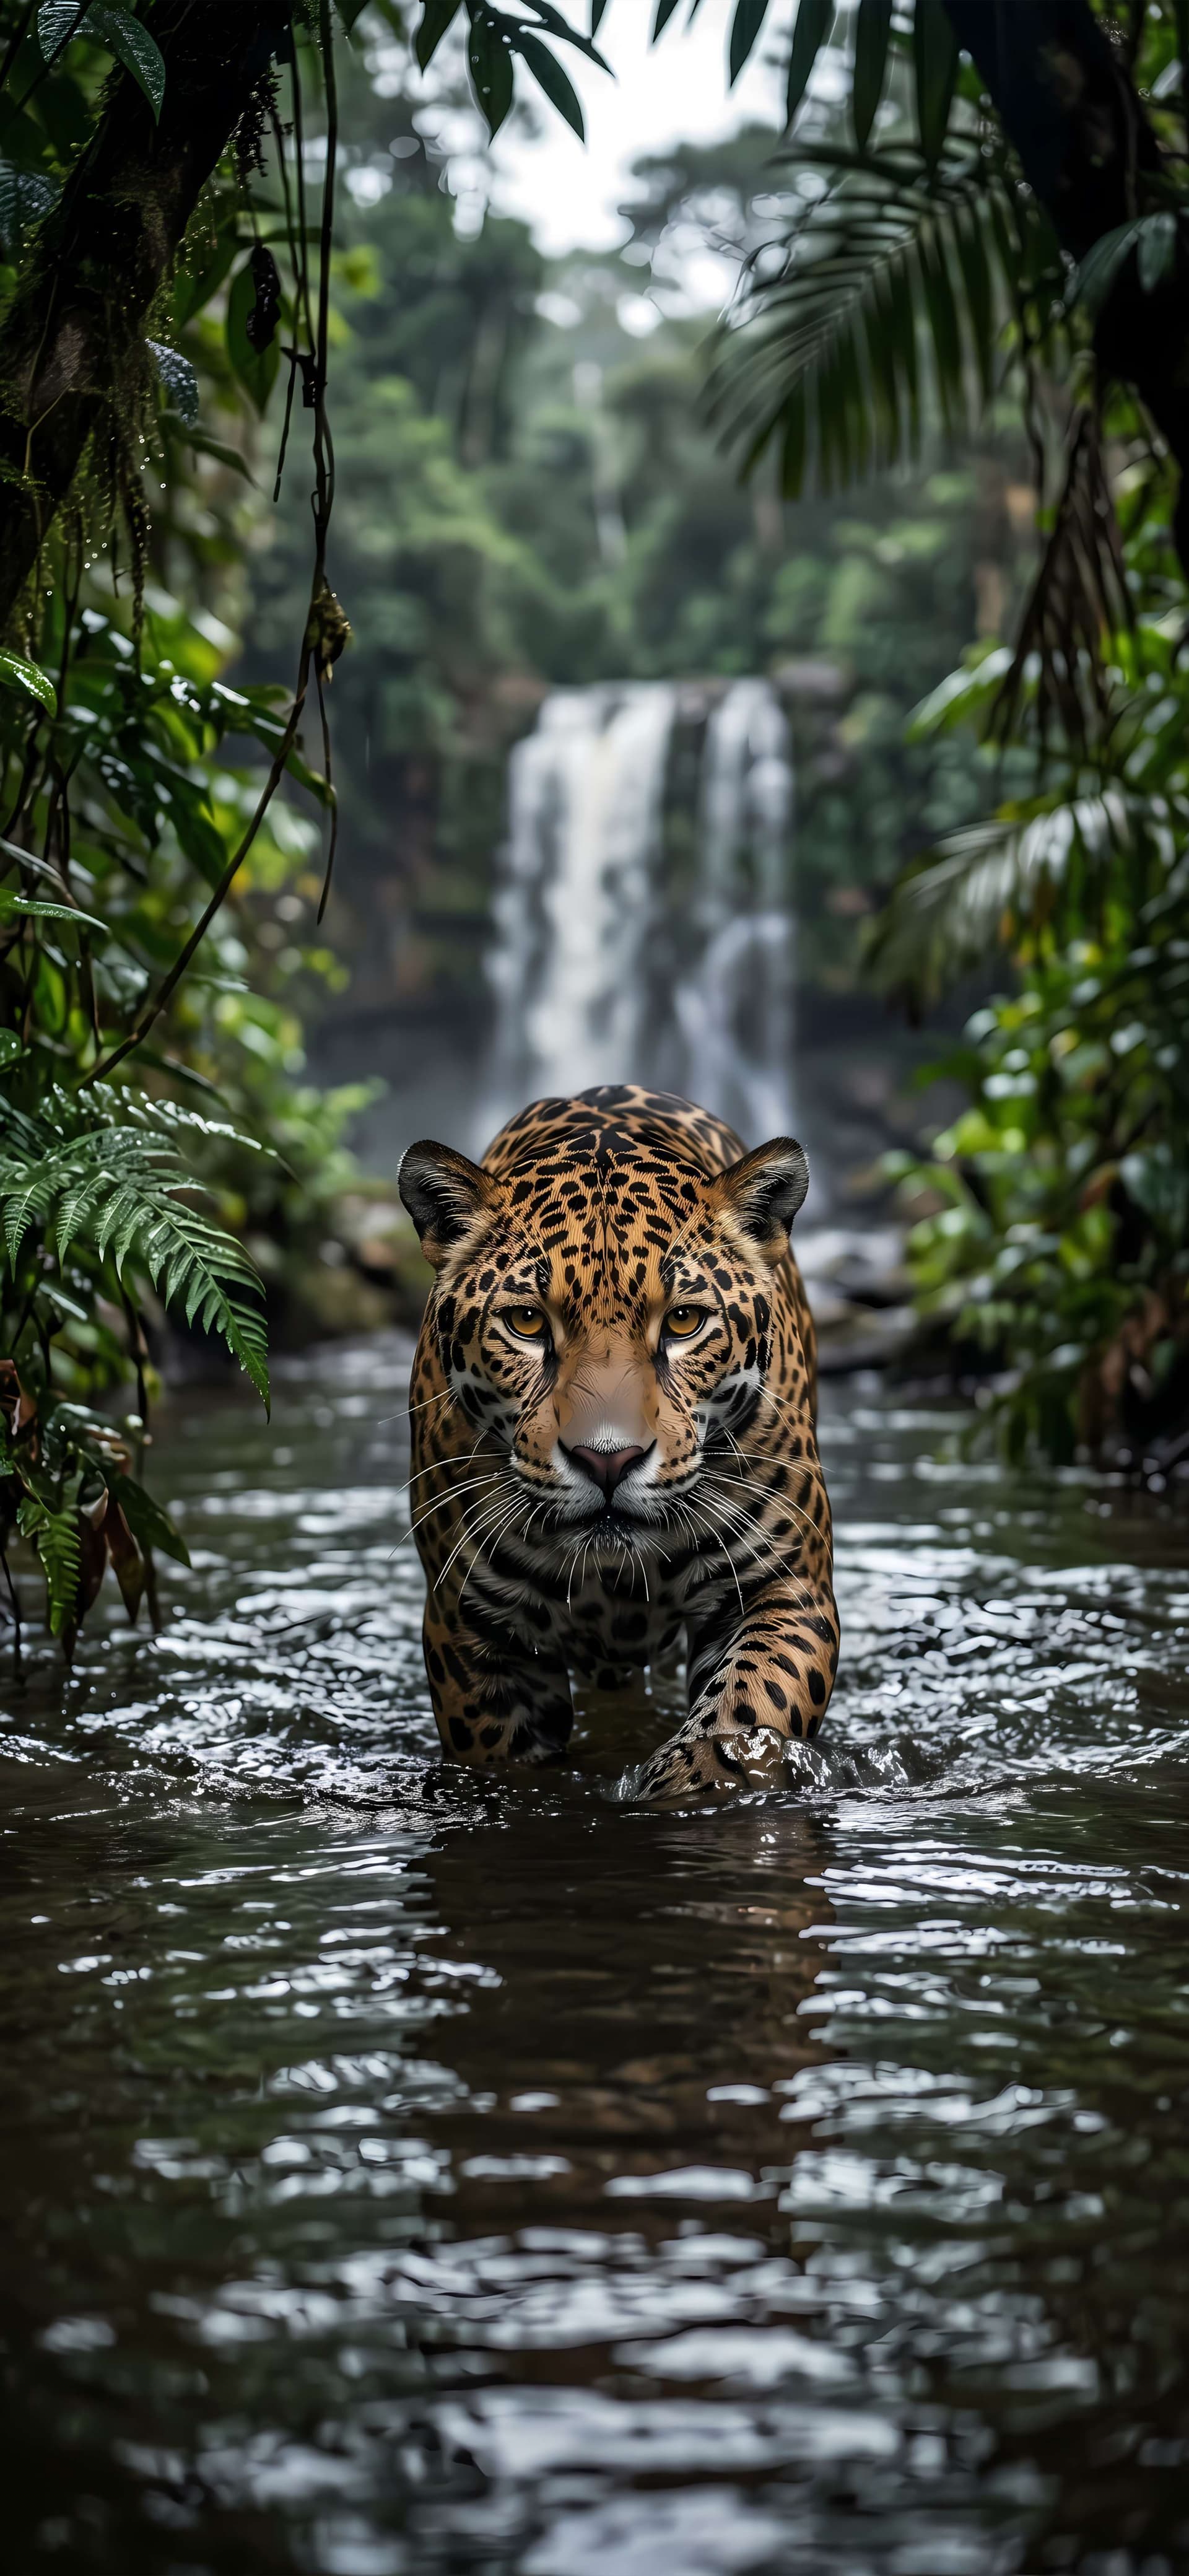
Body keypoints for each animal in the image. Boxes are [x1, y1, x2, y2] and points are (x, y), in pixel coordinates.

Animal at [397, 1084, 838, 1803]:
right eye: (526, 1322)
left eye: (684, 1321)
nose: (609, 1459)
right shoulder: (470, 1625)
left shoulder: (784, 1585)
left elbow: (747, 1715)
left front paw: (685, 1783)